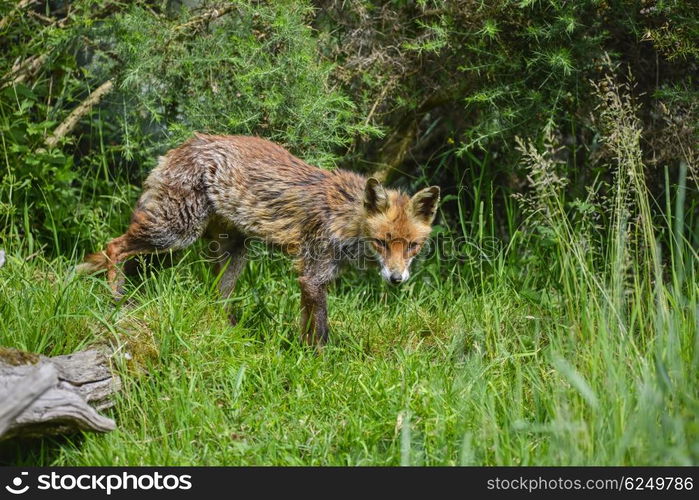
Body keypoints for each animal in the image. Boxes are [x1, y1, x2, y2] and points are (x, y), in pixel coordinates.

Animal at [79, 135, 440, 346]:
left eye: (412, 246)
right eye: (382, 242)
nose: (396, 279)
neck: (345, 219)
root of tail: (182, 146)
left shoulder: (309, 278)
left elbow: (306, 325)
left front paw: (301, 355)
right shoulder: (314, 273)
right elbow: (321, 331)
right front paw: (321, 365)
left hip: (230, 252)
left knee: (216, 296)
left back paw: (227, 331)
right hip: (174, 232)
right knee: (113, 247)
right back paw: (116, 298)